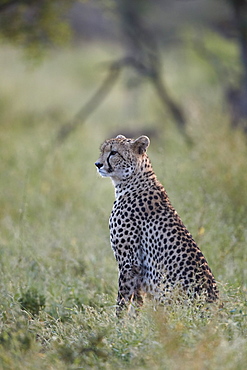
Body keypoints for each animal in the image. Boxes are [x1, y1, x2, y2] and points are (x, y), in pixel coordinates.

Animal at [94, 134, 218, 314]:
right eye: (102, 151)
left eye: (113, 153)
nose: (98, 164)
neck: (132, 181)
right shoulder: (139, 269)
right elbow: (136, 304)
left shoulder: (130, 263)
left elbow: (122, 302)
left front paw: (115, 322)